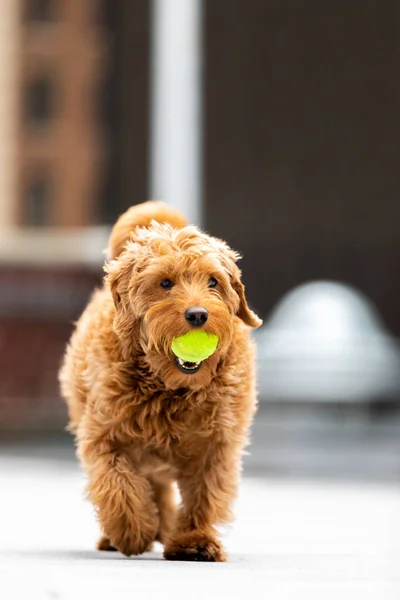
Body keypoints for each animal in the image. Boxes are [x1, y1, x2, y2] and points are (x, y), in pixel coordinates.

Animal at [57, 202, 260, 564]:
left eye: (213, 281)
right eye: (165, 283)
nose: (197, 314)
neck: (171, 389)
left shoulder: (216, 444)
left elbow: (205, 494)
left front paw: (194, 539)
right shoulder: (104, 435)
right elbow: (116, 482)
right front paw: (131, 531)